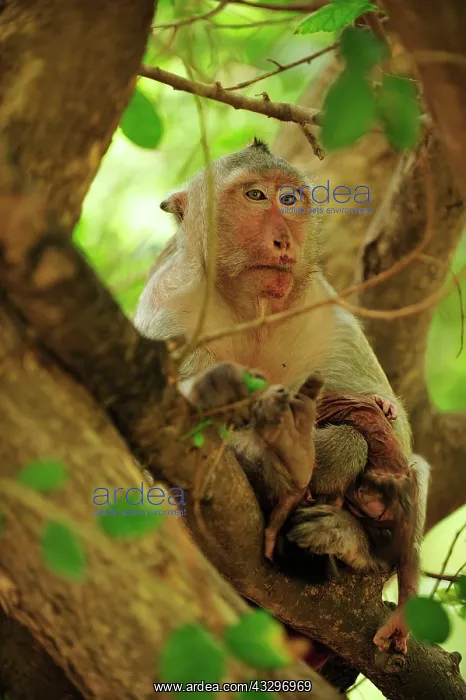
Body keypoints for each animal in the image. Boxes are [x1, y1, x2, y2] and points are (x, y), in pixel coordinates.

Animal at [134, 138, 430, 655]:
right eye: (255, 196)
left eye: (289, 200)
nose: (283, 239)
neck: (253, 312)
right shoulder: (167, 308)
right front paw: (283, 455)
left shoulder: (324, 311)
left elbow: (394, 427)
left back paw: (349, 539)